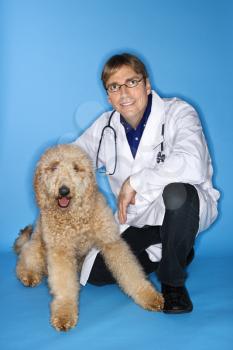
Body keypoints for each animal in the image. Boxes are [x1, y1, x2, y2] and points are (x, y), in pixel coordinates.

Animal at [14, 144, 164, 330]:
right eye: (54, 167)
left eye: (76, 168)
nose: (64, 190)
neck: (75, 218)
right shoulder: (60, 252)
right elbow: (63, 284)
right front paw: (64, 314)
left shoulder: (111, 242)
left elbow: (131, 272)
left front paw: (148, 295)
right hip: (37, 247)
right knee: (25, 258)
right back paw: (28, 275)